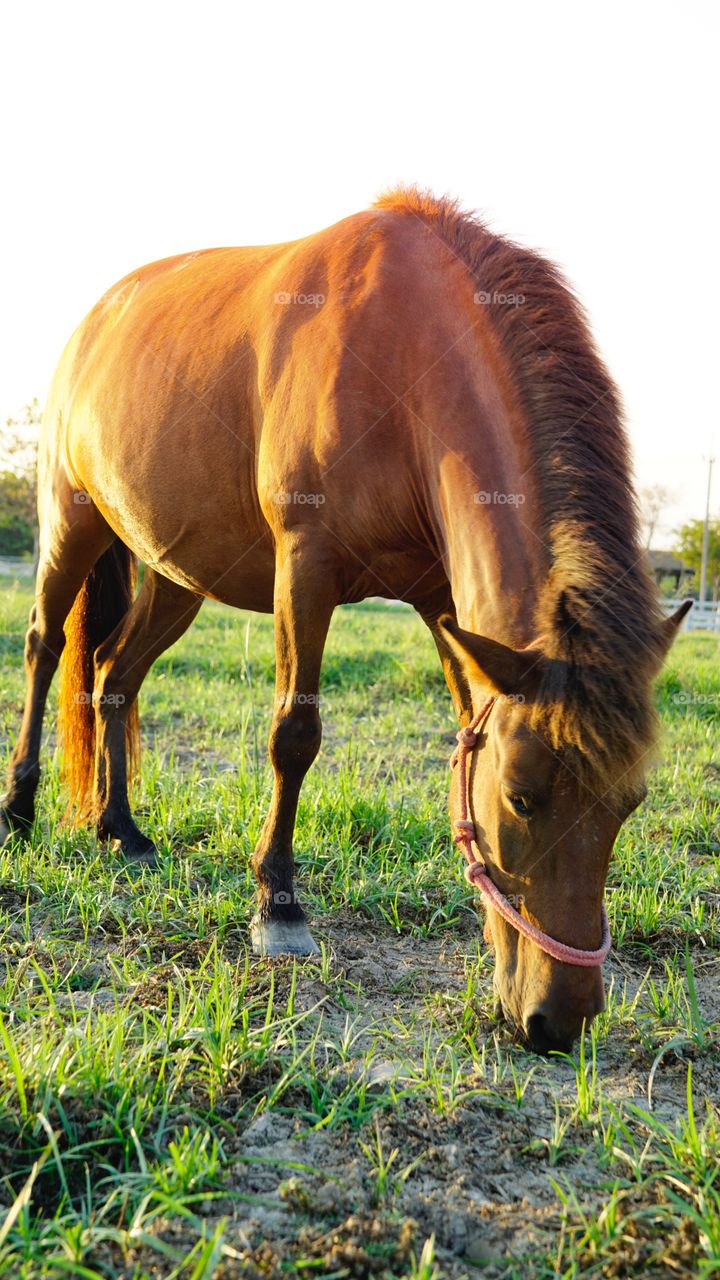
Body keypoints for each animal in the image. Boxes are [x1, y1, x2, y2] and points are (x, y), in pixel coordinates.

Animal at [0, 187, 688, 1054]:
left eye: (630, 804)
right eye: (524, 797)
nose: (558, 1021)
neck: (404, 355)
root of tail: (95, 319)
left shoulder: (442, 602)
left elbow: (461, 731)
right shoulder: (307, 568)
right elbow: (294, 736)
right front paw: (278, 907)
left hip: (176, 574)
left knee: (113, 674)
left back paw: (119, 828)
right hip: (72, 521)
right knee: (44, 645)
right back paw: (18, 808)